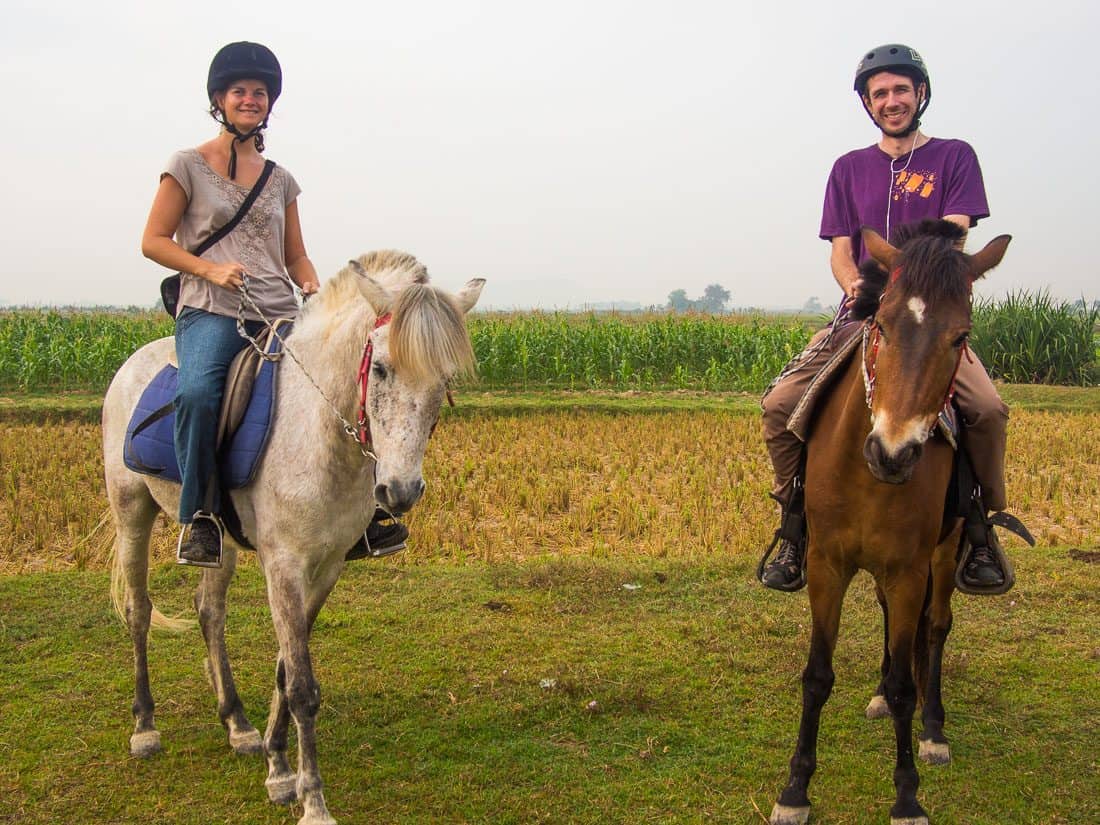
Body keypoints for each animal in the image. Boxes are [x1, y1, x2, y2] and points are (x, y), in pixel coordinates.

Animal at [103, 251, 481, 825]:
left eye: (444, 380)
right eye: (380, 367)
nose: (399, 491)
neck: (320, 430)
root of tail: (134, 362)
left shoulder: (326, 567)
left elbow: (286, 666)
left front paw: (278, 767)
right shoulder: (283, 565)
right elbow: (302, 685)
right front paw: (312, 800)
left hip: (219, 543)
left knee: (209, 612)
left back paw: (236, 723)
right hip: (132, 512)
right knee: (139, 611)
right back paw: (145, 726)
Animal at [770, 220, 1007, 825]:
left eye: (960, 337)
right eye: (880, 323)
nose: (894, 453)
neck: (866, 469)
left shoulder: (908, 569)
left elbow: (907, 682)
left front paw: (906, 796)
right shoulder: (826, 564)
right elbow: (817, 676)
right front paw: (795, 789)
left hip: (944, 555)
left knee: (937, 628)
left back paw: (934, 729)